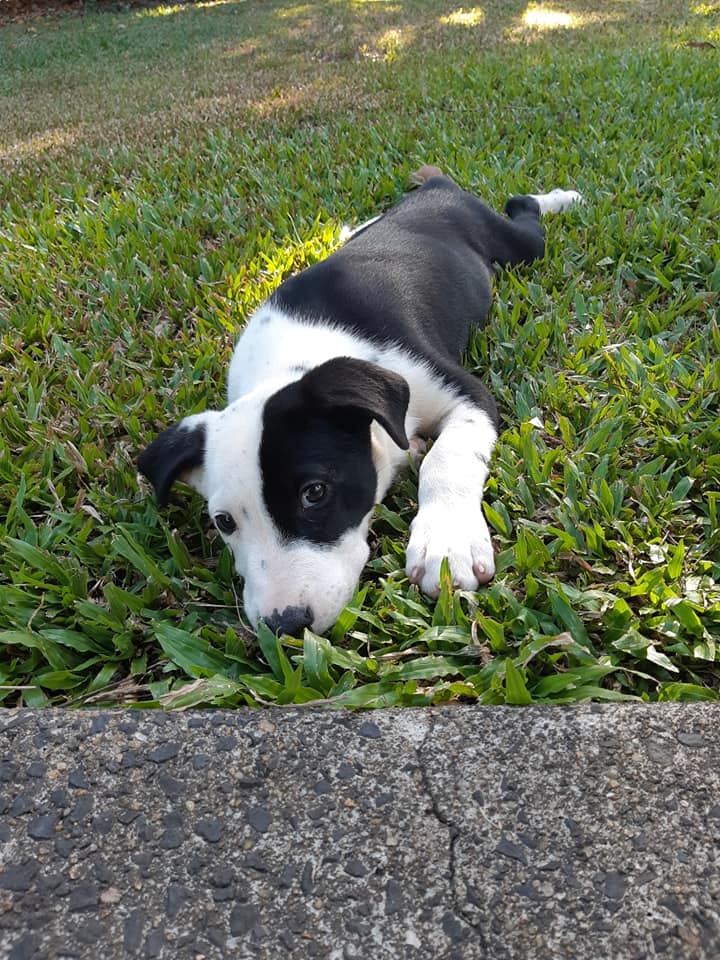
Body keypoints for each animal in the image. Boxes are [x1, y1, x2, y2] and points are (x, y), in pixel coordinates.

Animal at [138, 166, 581, 636]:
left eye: (315, 493)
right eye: (224, 522)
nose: (284, 626)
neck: (290, 362)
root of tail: (436, 189)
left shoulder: (466, 394)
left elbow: (447, 459)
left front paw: (445, 542)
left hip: (518, 246)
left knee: (522, 208)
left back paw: (560, 198)